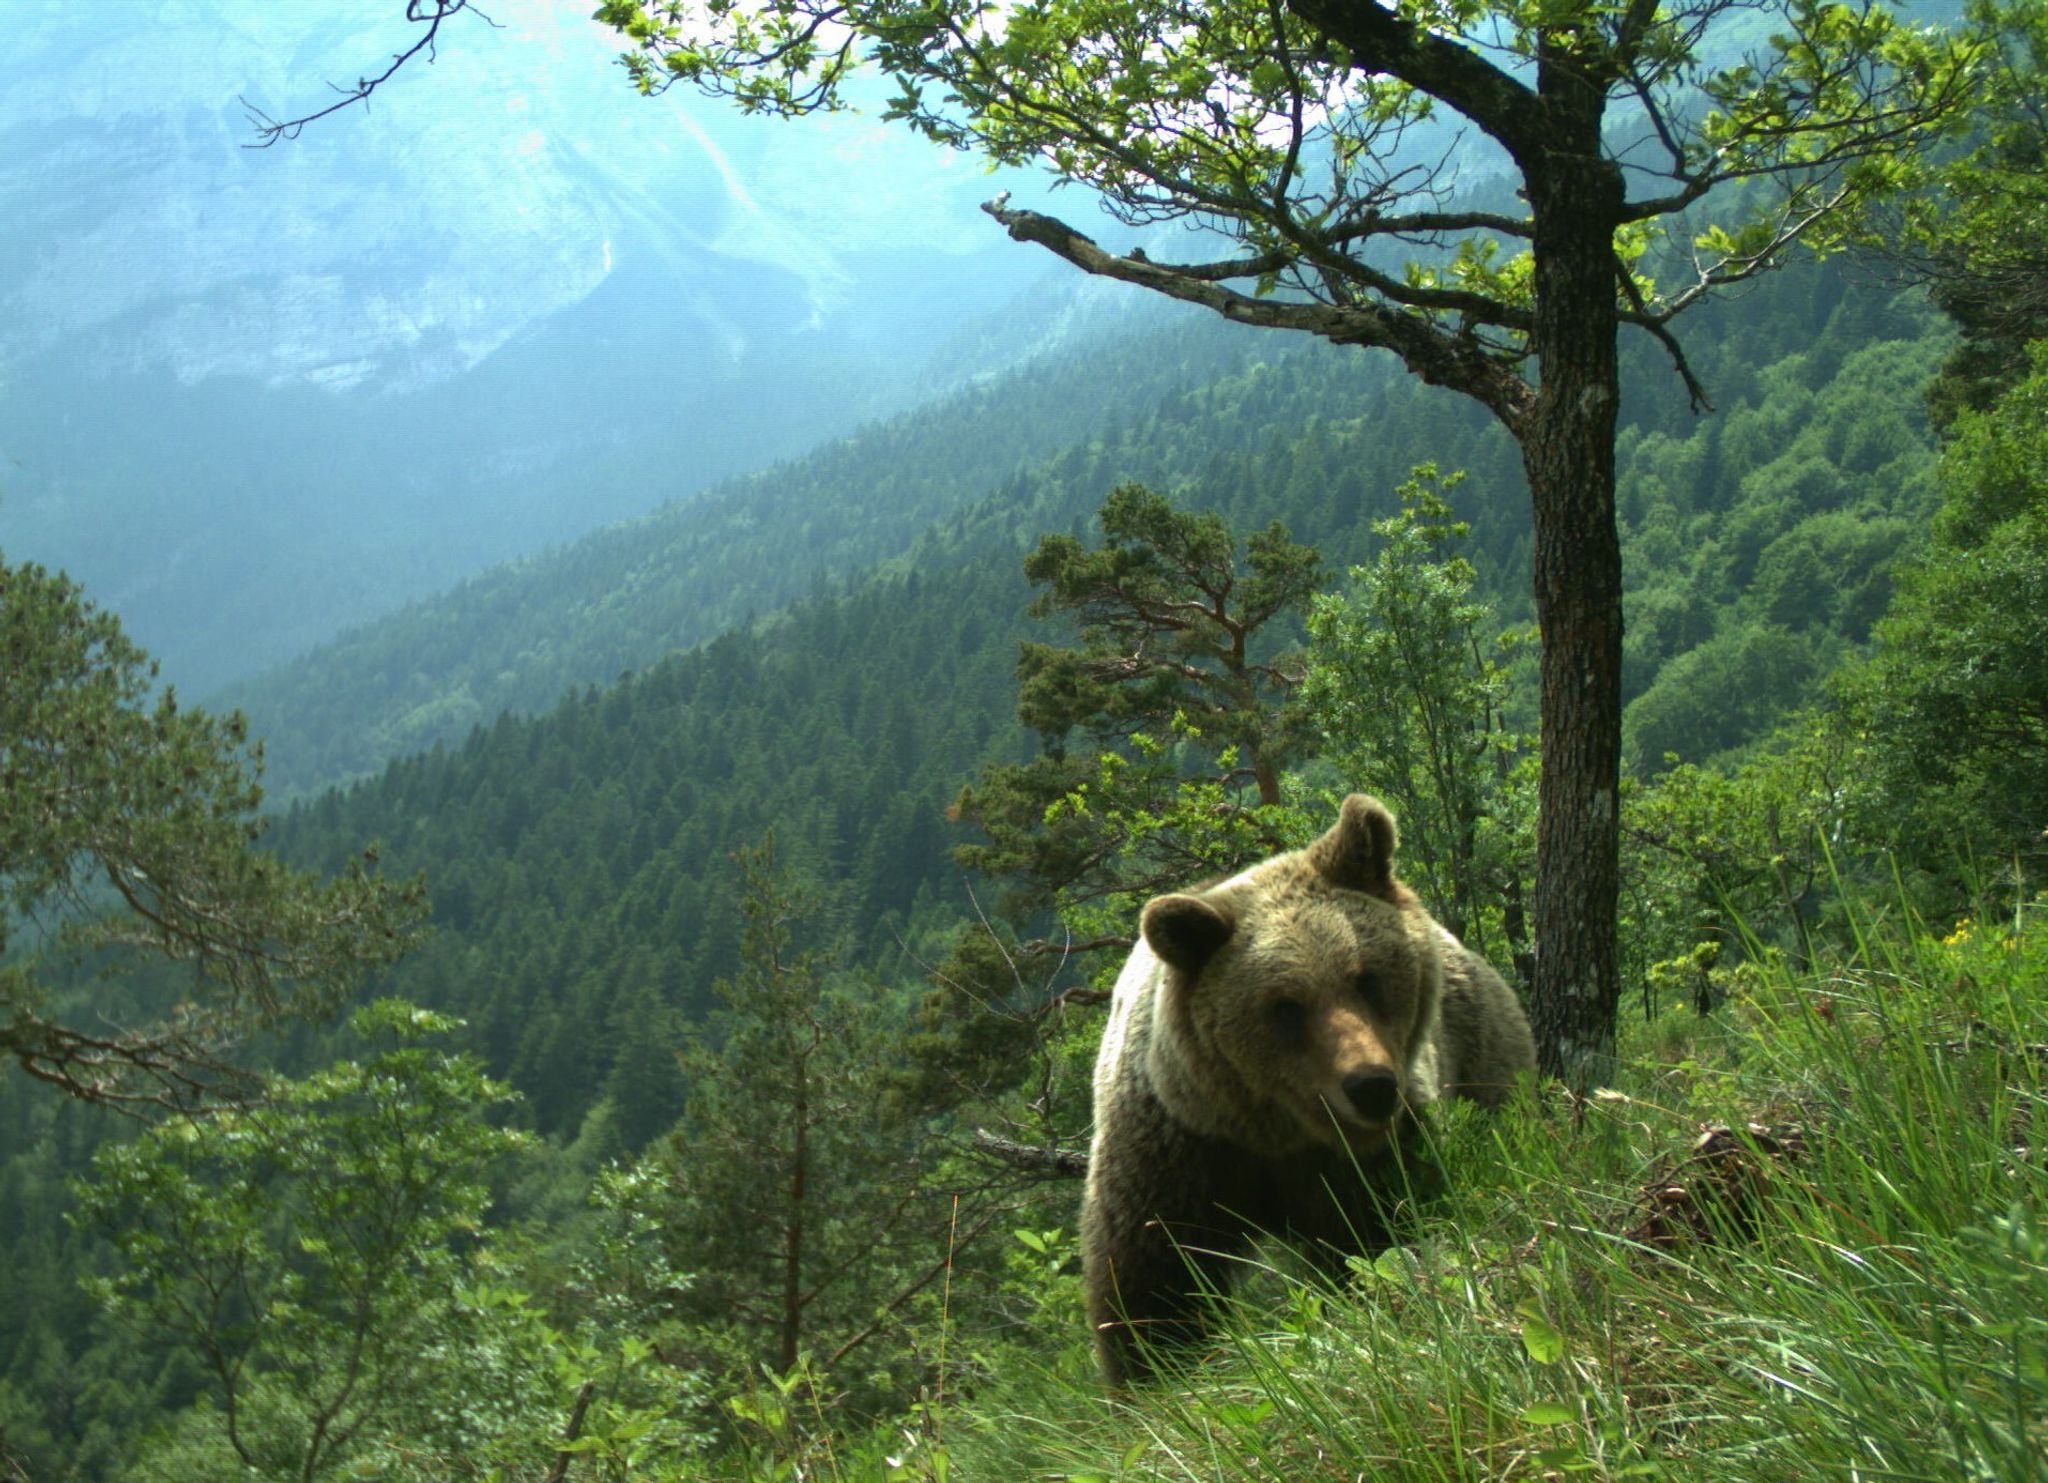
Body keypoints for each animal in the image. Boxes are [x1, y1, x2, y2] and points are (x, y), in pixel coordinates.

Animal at [1081, 794, 1531, 1384]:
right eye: (1285, 1006)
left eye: (1367, 977)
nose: (1371, 1086)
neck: (1277, 1132)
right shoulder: (1180, 1149)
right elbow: (1154, 1277)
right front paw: (1157, 1372)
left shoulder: (1371, 1157)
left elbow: (1381, 1237)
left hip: (1483, 1050)